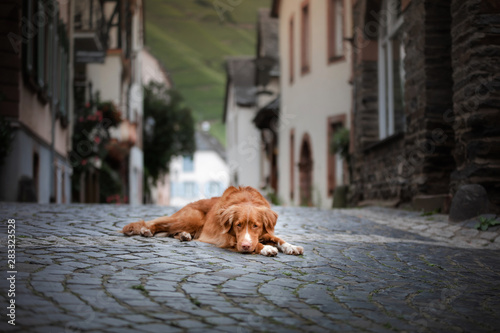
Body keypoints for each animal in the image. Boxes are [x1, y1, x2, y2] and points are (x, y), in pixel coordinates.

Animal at [121, 185, 302, 255]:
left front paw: (291, 247)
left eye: (255, 226)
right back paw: (146, 230)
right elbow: (256, 243)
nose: (245, 246)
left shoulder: (264, 232)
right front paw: (265, 248)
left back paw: (184, 236)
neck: (247, 200)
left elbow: (278, 238)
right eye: (238, 225)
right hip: (190, 219)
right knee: (157, 223)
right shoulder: (228, 238)